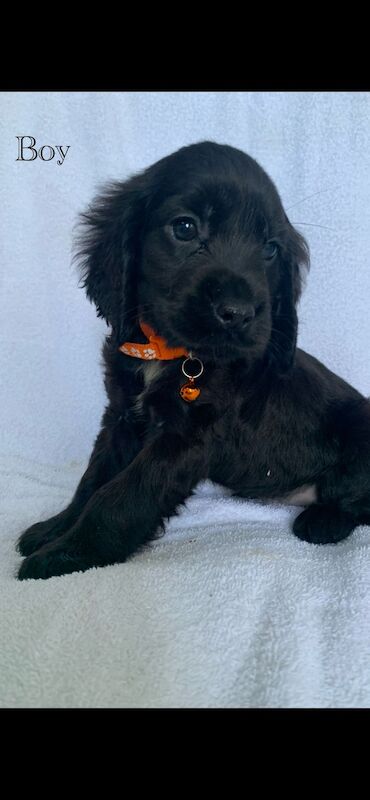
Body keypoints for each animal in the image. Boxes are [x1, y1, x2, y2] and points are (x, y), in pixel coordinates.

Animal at [17, 141, 370, 580]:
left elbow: (119, 497)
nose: (238, 313)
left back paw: (323, 521)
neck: (169, 353)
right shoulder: (121, 416)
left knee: (355, 500)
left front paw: (67, 555)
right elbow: (93, 479)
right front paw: (53, 529)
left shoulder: (186, 438)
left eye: (270, 249)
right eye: (185, 228)